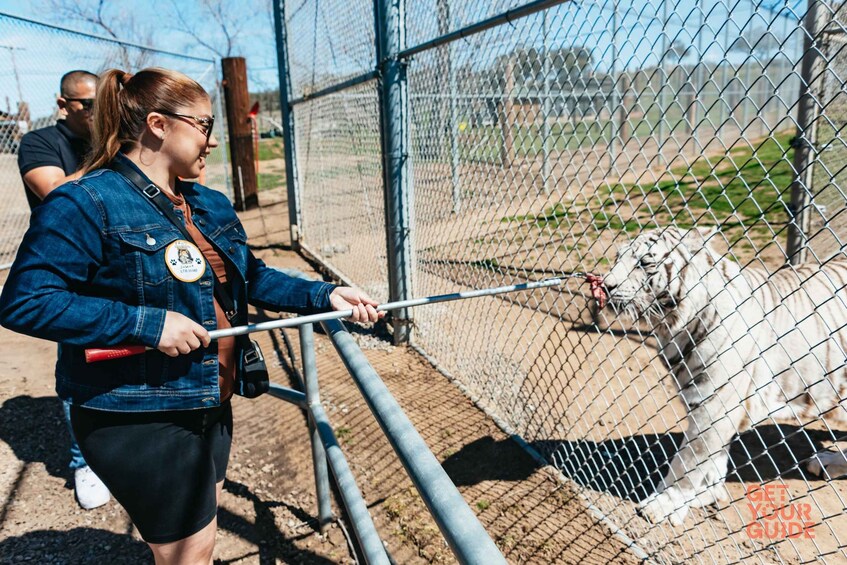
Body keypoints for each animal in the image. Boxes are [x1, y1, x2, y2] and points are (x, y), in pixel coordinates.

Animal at [604, 228, 847, 524]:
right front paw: (707, 493)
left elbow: (687, 461)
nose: (605, 285)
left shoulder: (715, 404)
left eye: (645, 263)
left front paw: (664, 503)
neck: (672, 326)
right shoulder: (704, 400)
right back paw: (825, 463)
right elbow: (712, 459)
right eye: (617, 256)